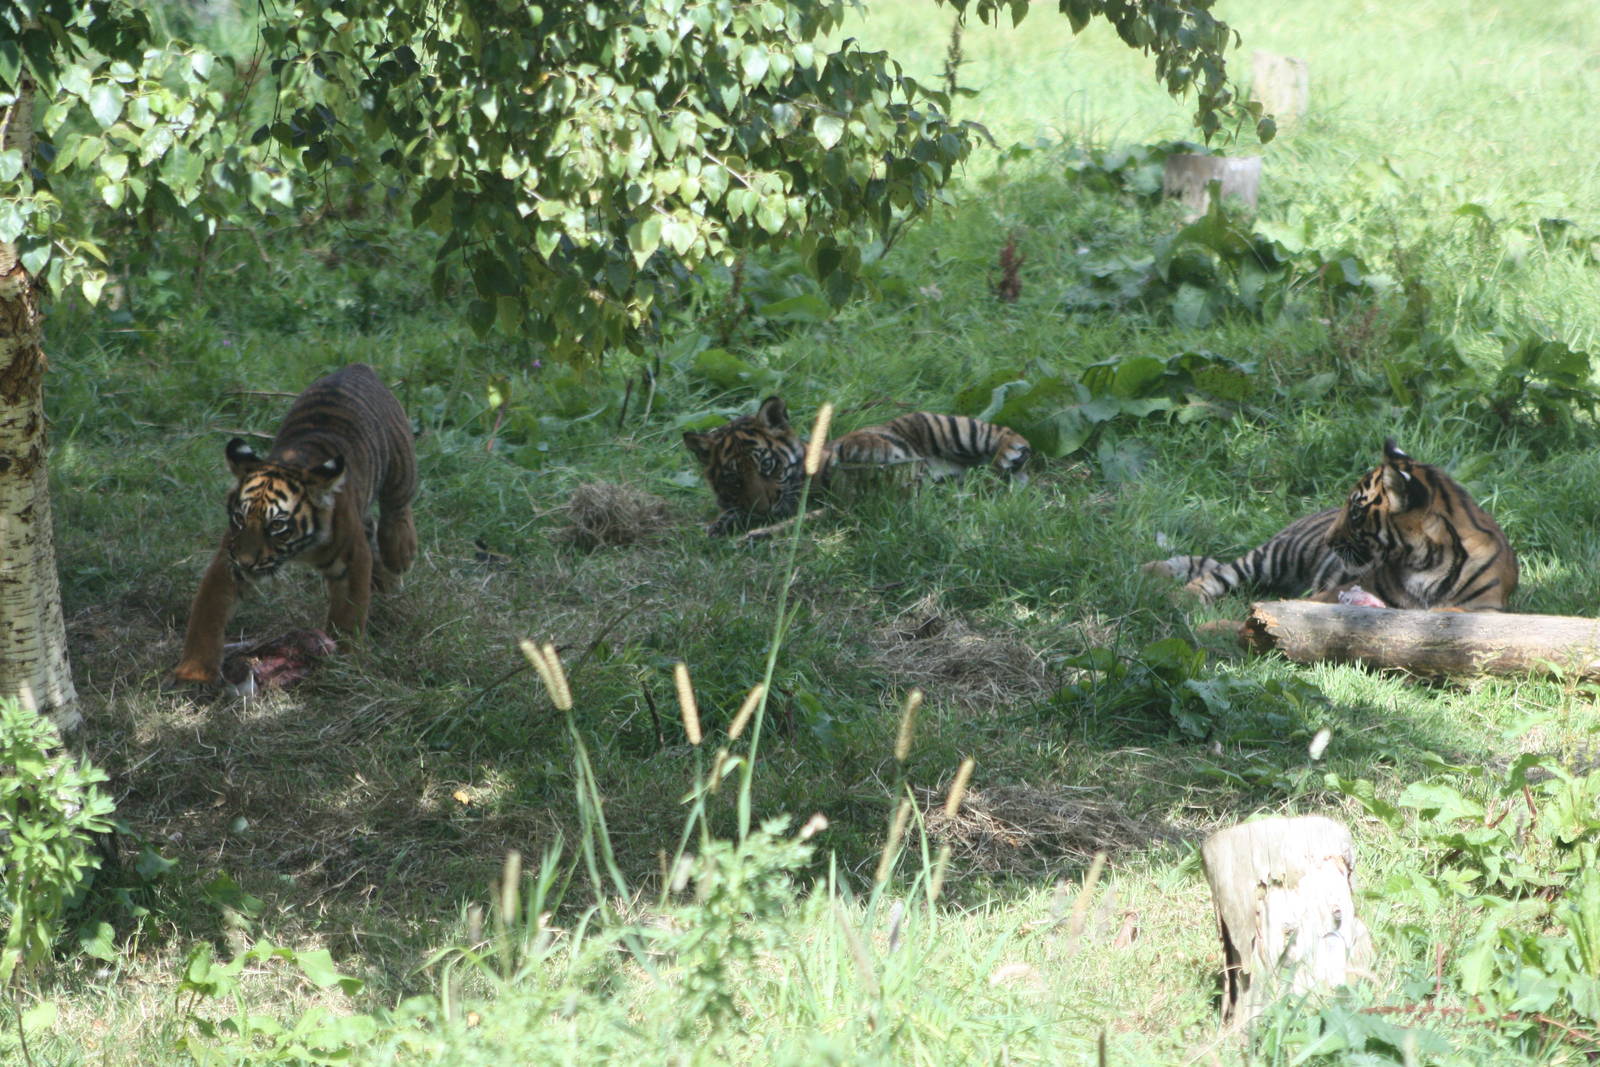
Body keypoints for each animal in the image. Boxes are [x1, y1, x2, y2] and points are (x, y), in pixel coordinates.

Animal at [171, 363, 418, 685]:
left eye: (277, 526)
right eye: (239, 519)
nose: (247, 563)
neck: (300, 549)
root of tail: (358, 367)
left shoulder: (352, 560)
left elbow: (349, 613)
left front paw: (346, 662)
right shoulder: (228, 560)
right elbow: (207, 613)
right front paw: (195, 673)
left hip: (400, 467)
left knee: (396, 509)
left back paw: (400, 552)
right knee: (373, 525)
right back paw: (383, 580)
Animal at [682, 395, 1031, 535]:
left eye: (768, 466)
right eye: (734, 479)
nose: (764, 509)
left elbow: (855, 443)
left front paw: (864, 448)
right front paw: (721, 523)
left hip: (948, 428)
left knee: (1002, 433)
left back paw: (1011, 453)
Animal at [1143, 439, 1516, 610]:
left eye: (1356, 512)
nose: (1328, 540)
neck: (1426, 561)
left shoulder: (1483, 609)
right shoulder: (1339, 589)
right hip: (1274, 555)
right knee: (1217, 574)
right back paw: (1177, 595)